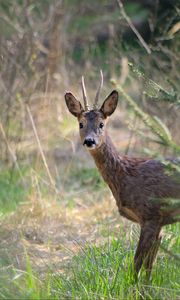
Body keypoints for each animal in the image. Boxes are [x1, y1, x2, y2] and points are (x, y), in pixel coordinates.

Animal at [64, 73, 180, 278]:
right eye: (81, 124)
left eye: (102, 124)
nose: (89, 141)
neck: (125, 175)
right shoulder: (158, 222)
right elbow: (149, 266)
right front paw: (146, 287)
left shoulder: (151, 214)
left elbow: (137, 264)